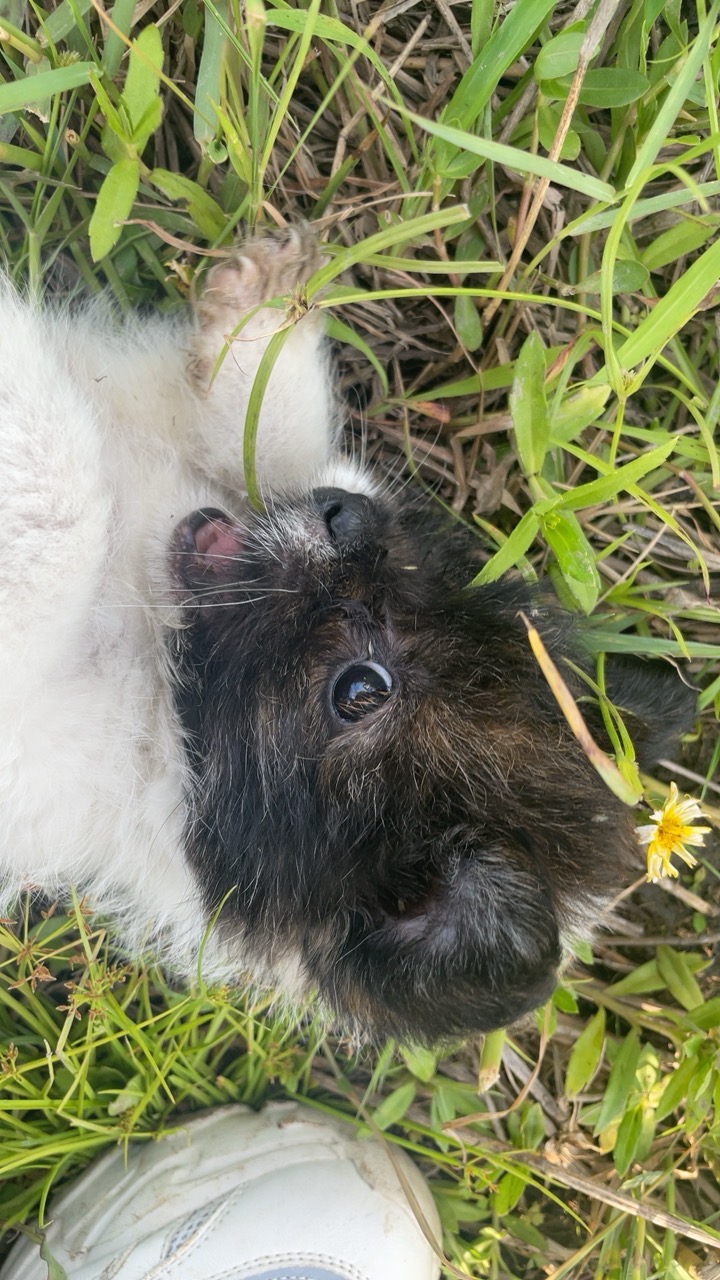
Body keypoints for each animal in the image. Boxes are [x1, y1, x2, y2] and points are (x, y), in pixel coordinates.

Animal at [0, 230, 691, 1044]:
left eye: (361, 690)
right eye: (425, 570)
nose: (352, 517)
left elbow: (67, 510)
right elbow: (266, 445)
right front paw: (267, 309)